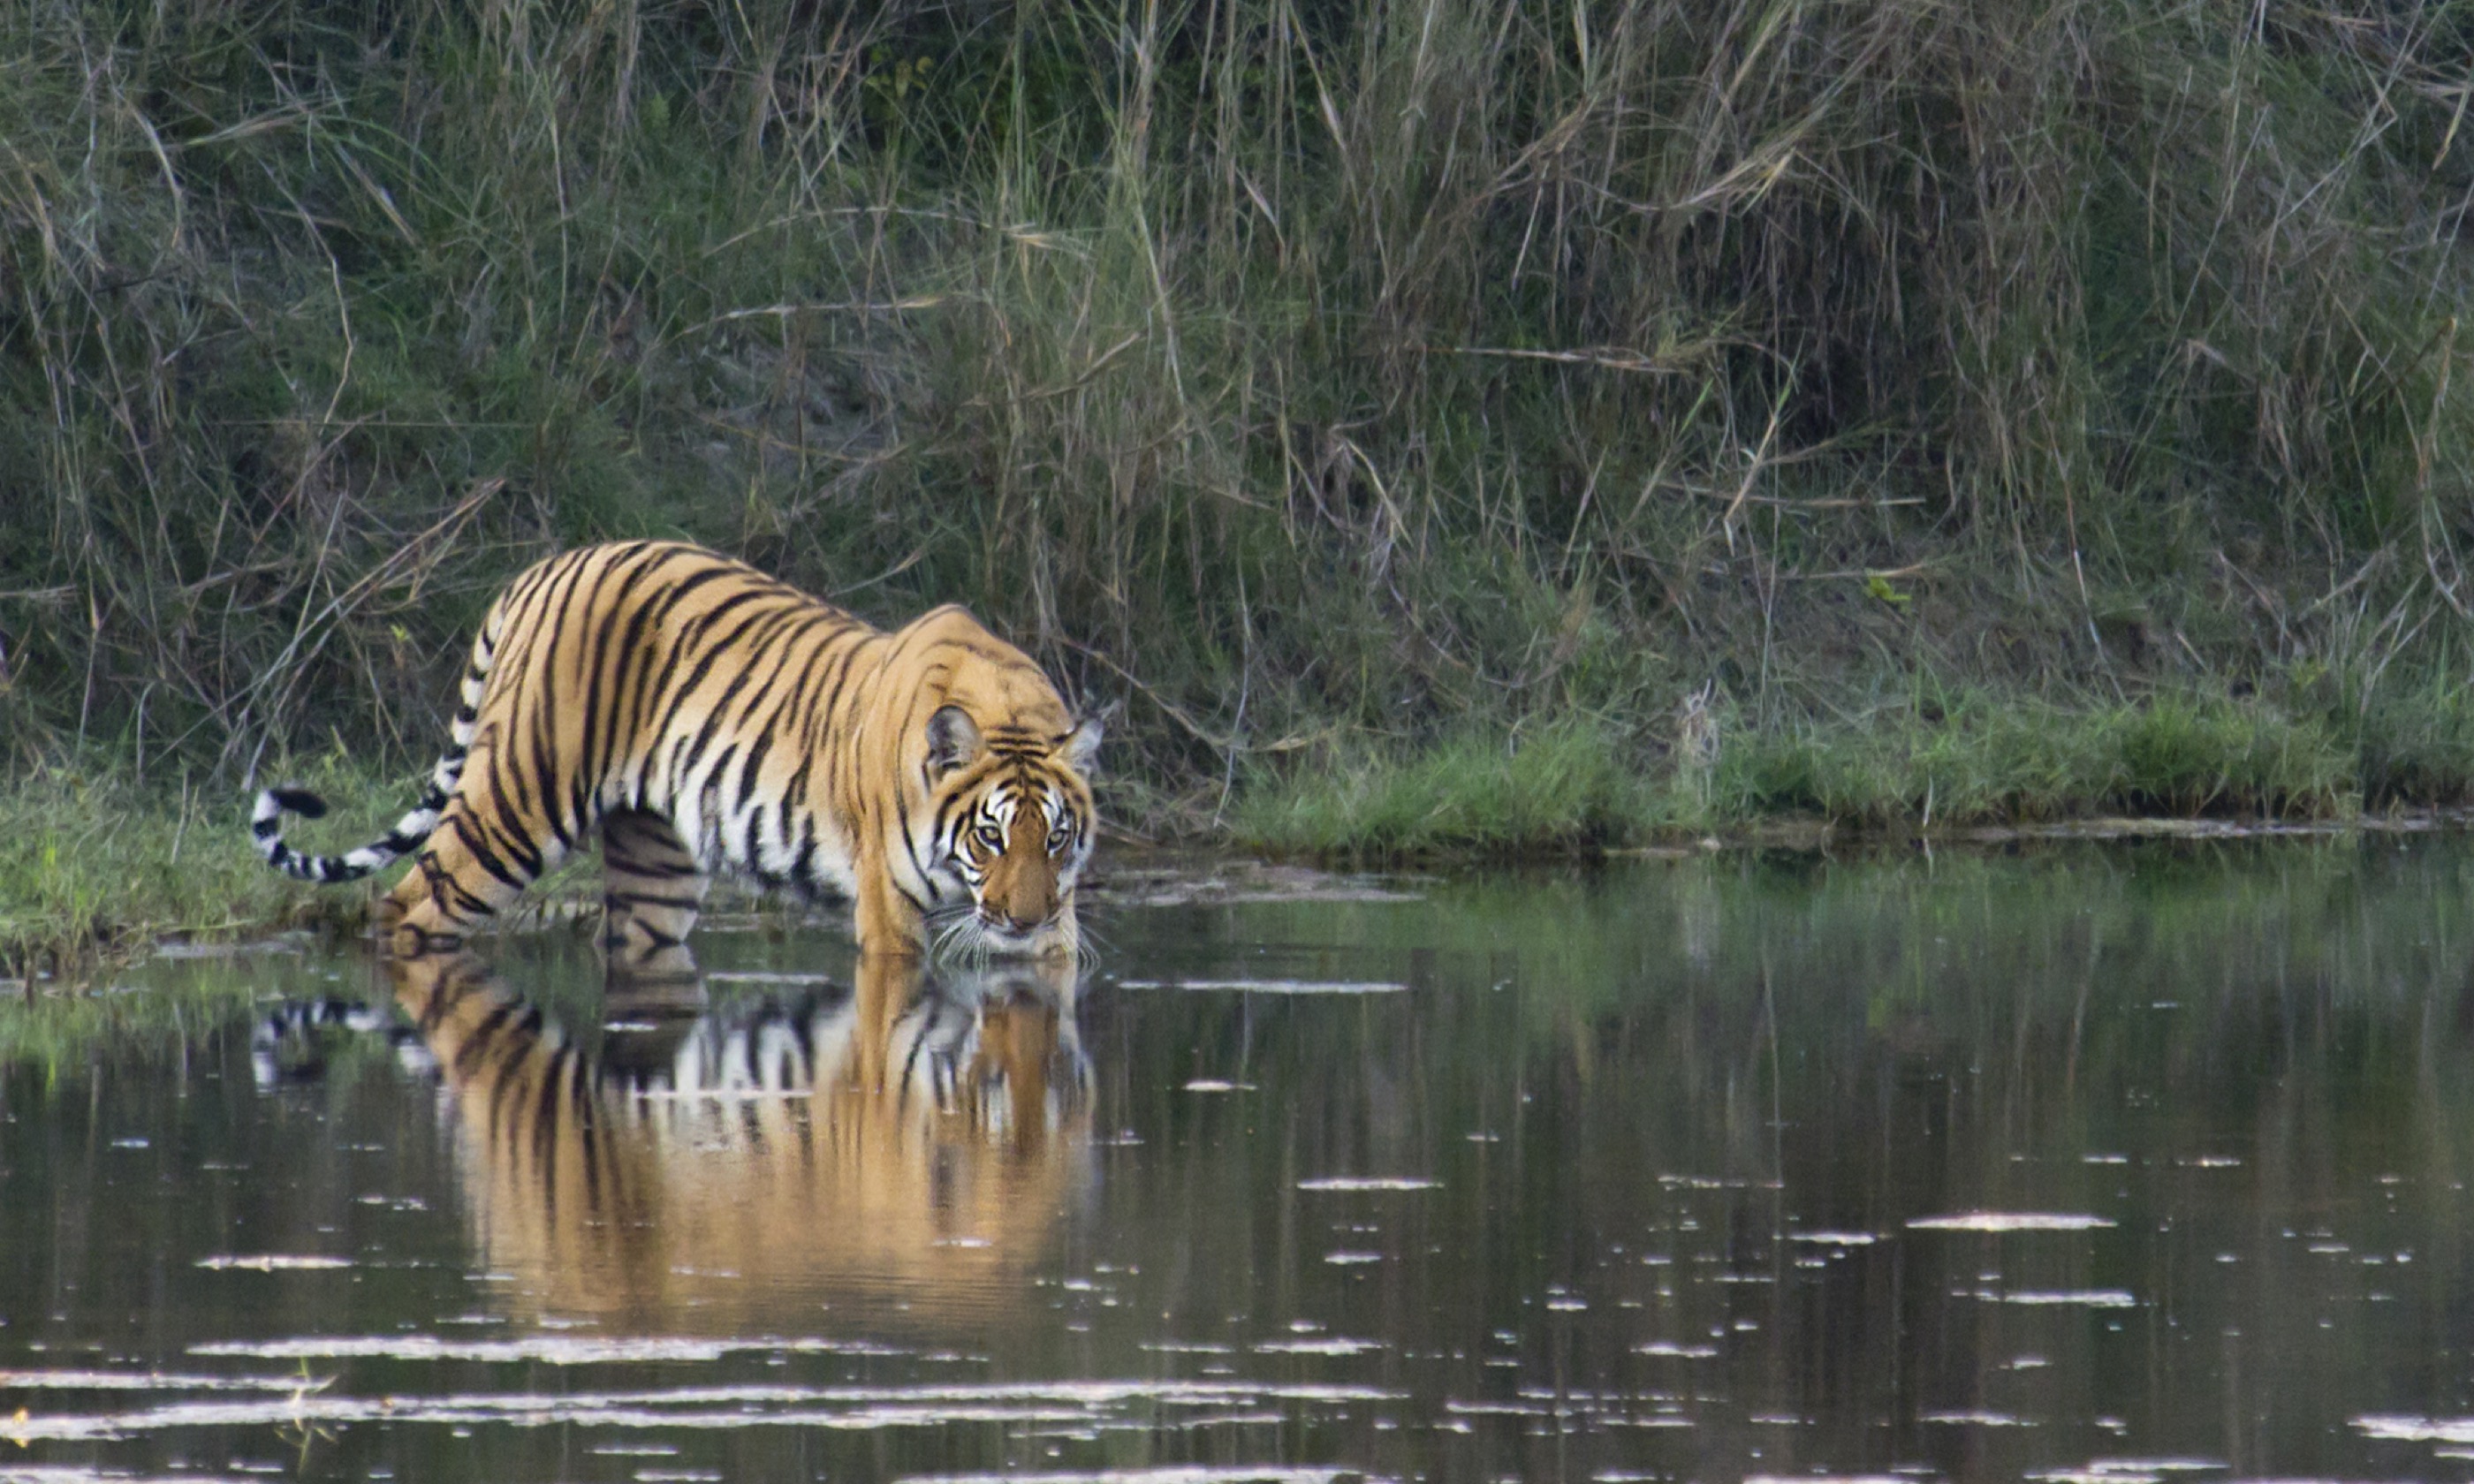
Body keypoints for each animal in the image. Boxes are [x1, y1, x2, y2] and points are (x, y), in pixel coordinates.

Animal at [251, 539, 1103, 954]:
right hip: (514, 804)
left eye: (1056, 838)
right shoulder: (888, 909)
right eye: (989, 837)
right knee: (408, 904)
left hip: (654, 866)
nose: (1022, 921)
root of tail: (543, 568)